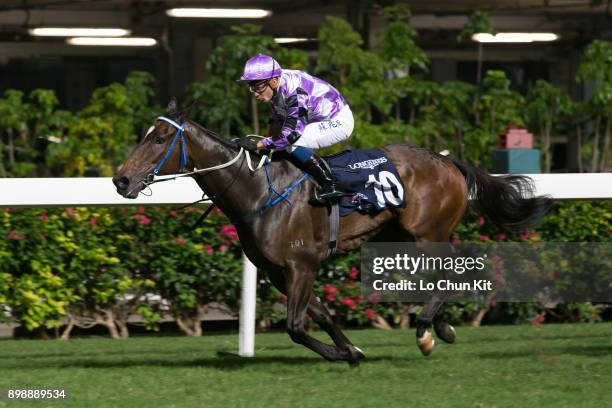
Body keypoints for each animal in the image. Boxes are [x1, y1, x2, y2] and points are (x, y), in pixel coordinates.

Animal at [112, 101, 552, 366]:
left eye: (160, 138)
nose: (121, 179)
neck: (257, 191)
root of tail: (447, 162)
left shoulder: (301, 264)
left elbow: (295, 326)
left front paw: (345, 354)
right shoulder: (279, 271)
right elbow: (319, 314)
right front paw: (352, 350)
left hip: (428, 233)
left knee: (456, 270)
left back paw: (426, 329)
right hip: (399, 237)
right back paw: (440, 328)